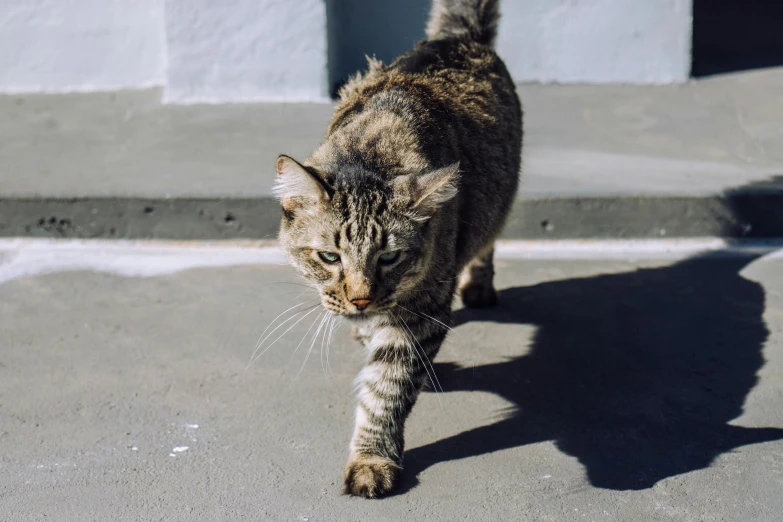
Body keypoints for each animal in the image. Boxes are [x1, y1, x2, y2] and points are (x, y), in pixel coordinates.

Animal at [272, 0, 524, 496]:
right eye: (329, 257)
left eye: (390, 257)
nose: (361, 298)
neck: (371, 154)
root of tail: (457, 36)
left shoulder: (421, 309)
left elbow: (386, 388)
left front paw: (371, 458)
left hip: (496, 205)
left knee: (486, 241)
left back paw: (478, 286)